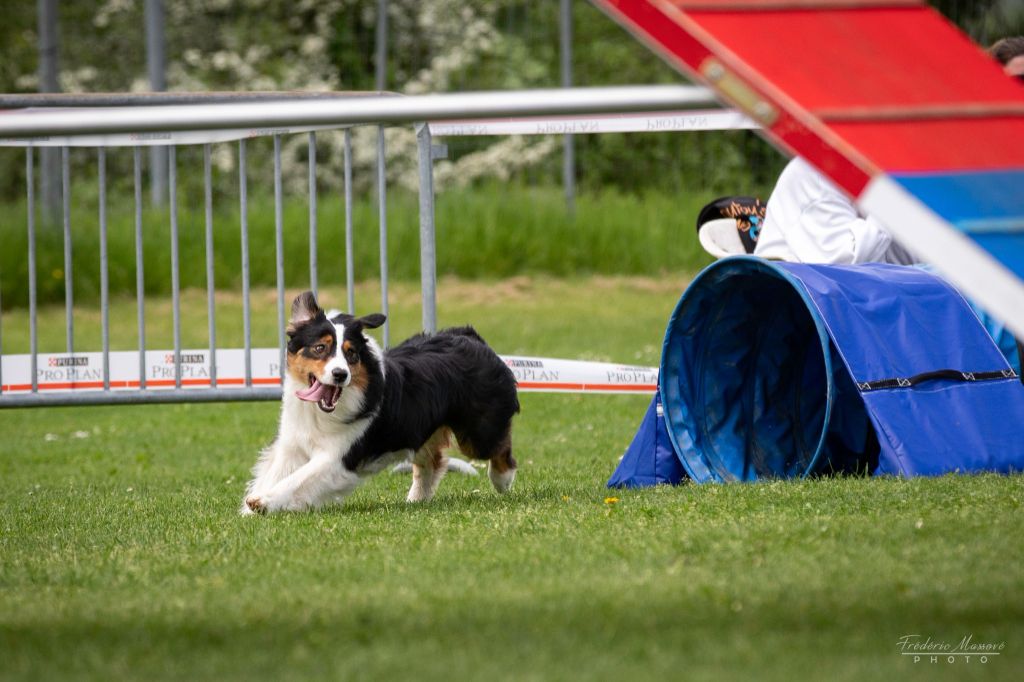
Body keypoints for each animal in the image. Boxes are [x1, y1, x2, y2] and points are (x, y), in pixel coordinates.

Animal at [240, 288, 520, 512]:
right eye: (320, 348)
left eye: (351, 353)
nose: (340, 374)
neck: (321, 413)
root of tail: (470, 336)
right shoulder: (293, 443)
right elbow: (276, 473)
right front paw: (251, 507)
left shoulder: (339, 455)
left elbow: (298, 479)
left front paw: (263, 502)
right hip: (418, 428)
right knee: (432, 461)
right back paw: (416, 499)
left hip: (478, 433)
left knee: (499, 447)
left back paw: (502, 480)